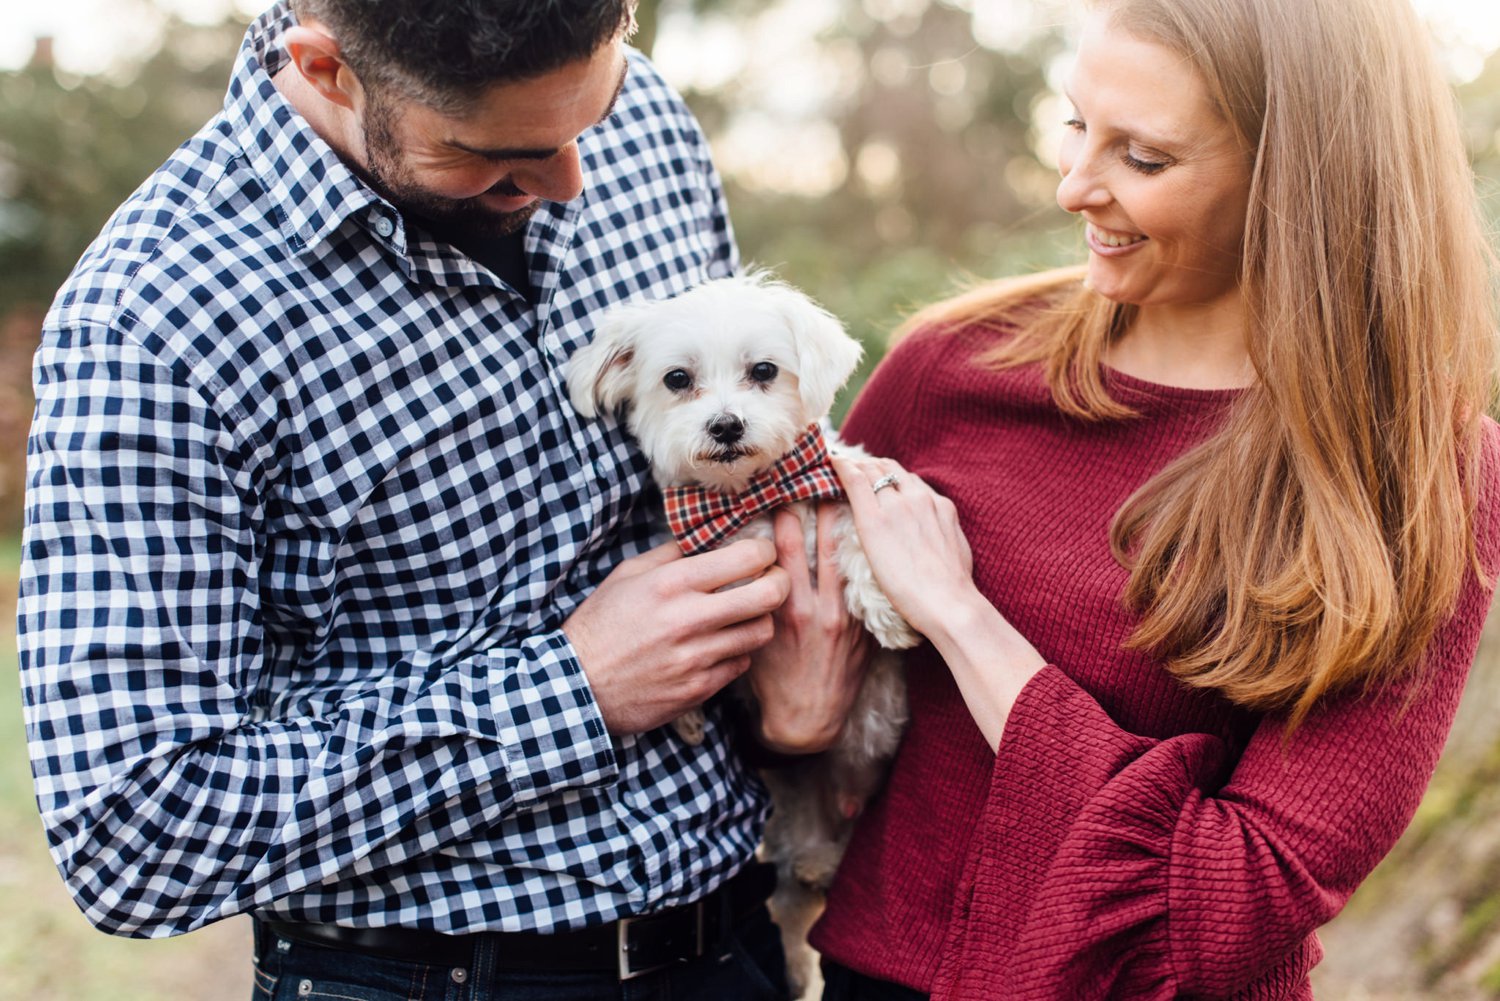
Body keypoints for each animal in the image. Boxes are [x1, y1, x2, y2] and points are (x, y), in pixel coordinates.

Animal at [564, 268, 912, 996]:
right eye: (677, 379)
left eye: (764, 371)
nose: (726, 423)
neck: (756, 493)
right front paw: (688, 709)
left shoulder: (842, 497)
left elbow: (861, 535)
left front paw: (885, 607)